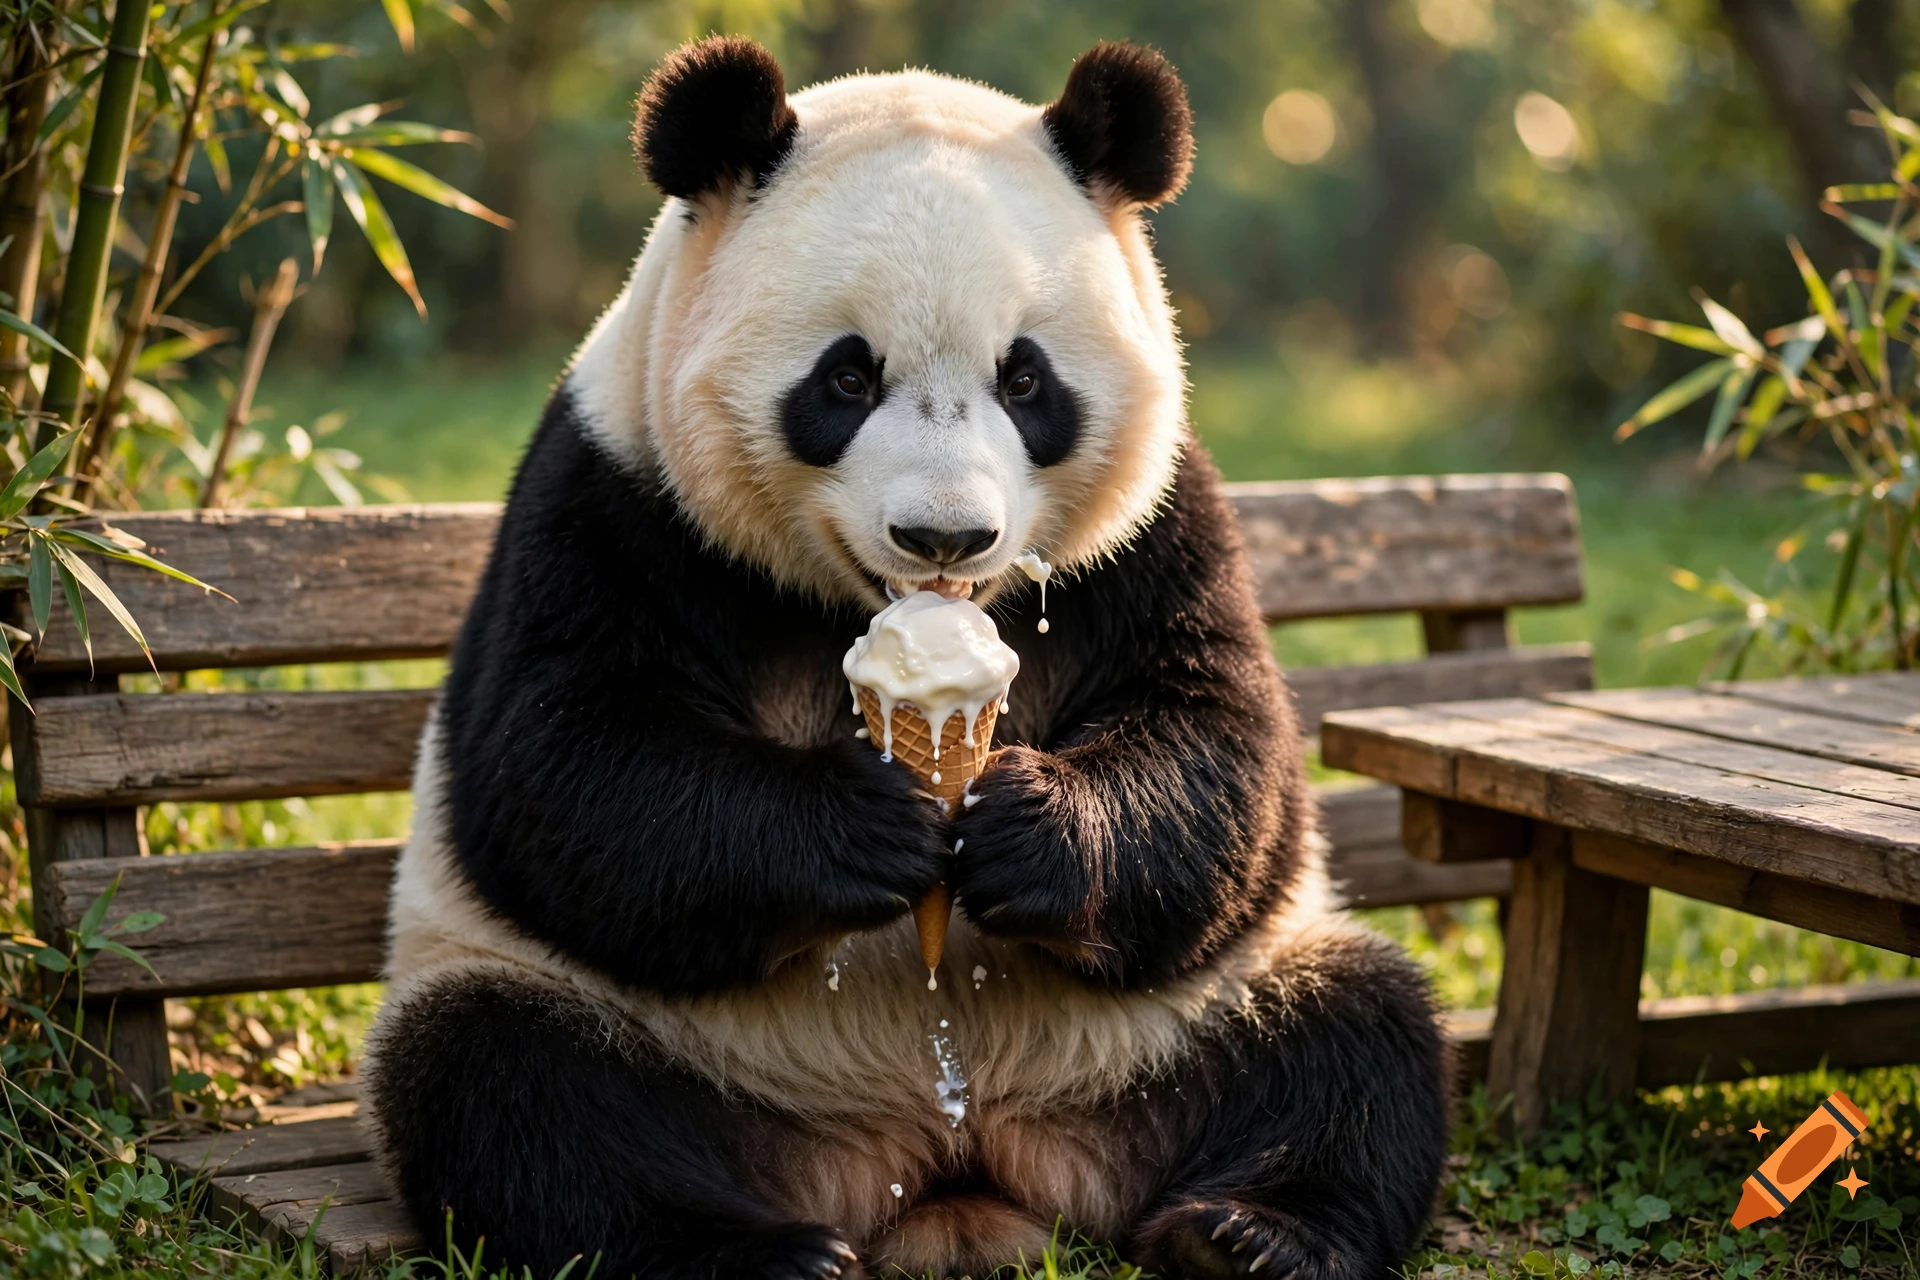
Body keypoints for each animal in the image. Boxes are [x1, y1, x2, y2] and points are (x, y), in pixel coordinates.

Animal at [361, 35, 1449, 1280]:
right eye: (846, 377)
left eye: (1025, 379)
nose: (946, 536)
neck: (867, 606)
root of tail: (944, 1159)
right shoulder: (615, 494)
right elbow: (565, 765)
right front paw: (865, 826)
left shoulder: (1159, 526)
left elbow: (1221, 746)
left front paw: (1026, 829)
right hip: (656, 1037)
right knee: (511, 1082)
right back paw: (753, 1250)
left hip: (1177, 1021)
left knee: (1354, 1034)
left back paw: (1253, 1230)